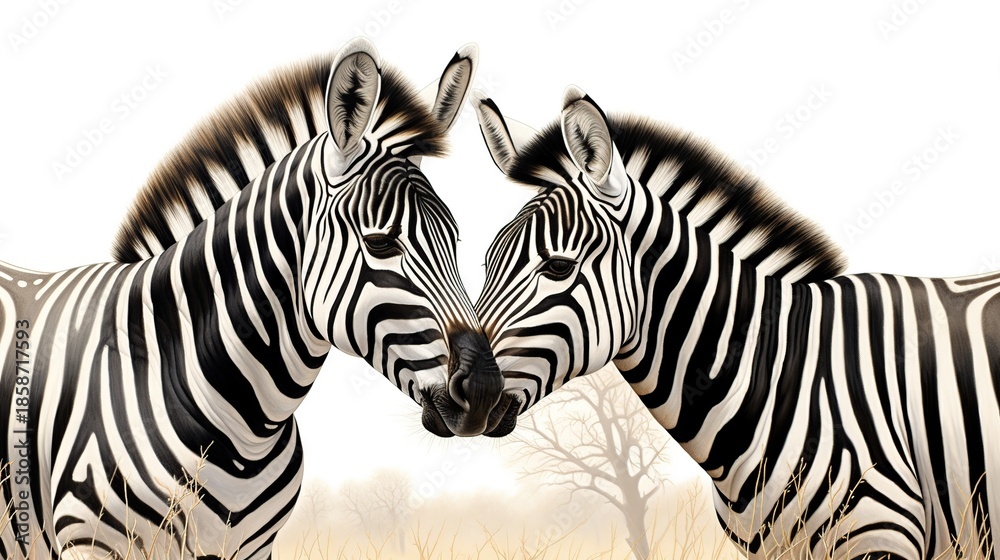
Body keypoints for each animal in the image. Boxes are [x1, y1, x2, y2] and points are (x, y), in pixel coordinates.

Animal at [0, 38, 516, 560]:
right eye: (380, 243)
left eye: (454, 239)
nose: (485, 391)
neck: (244, 432)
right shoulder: (90, 541)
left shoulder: (250, 548)